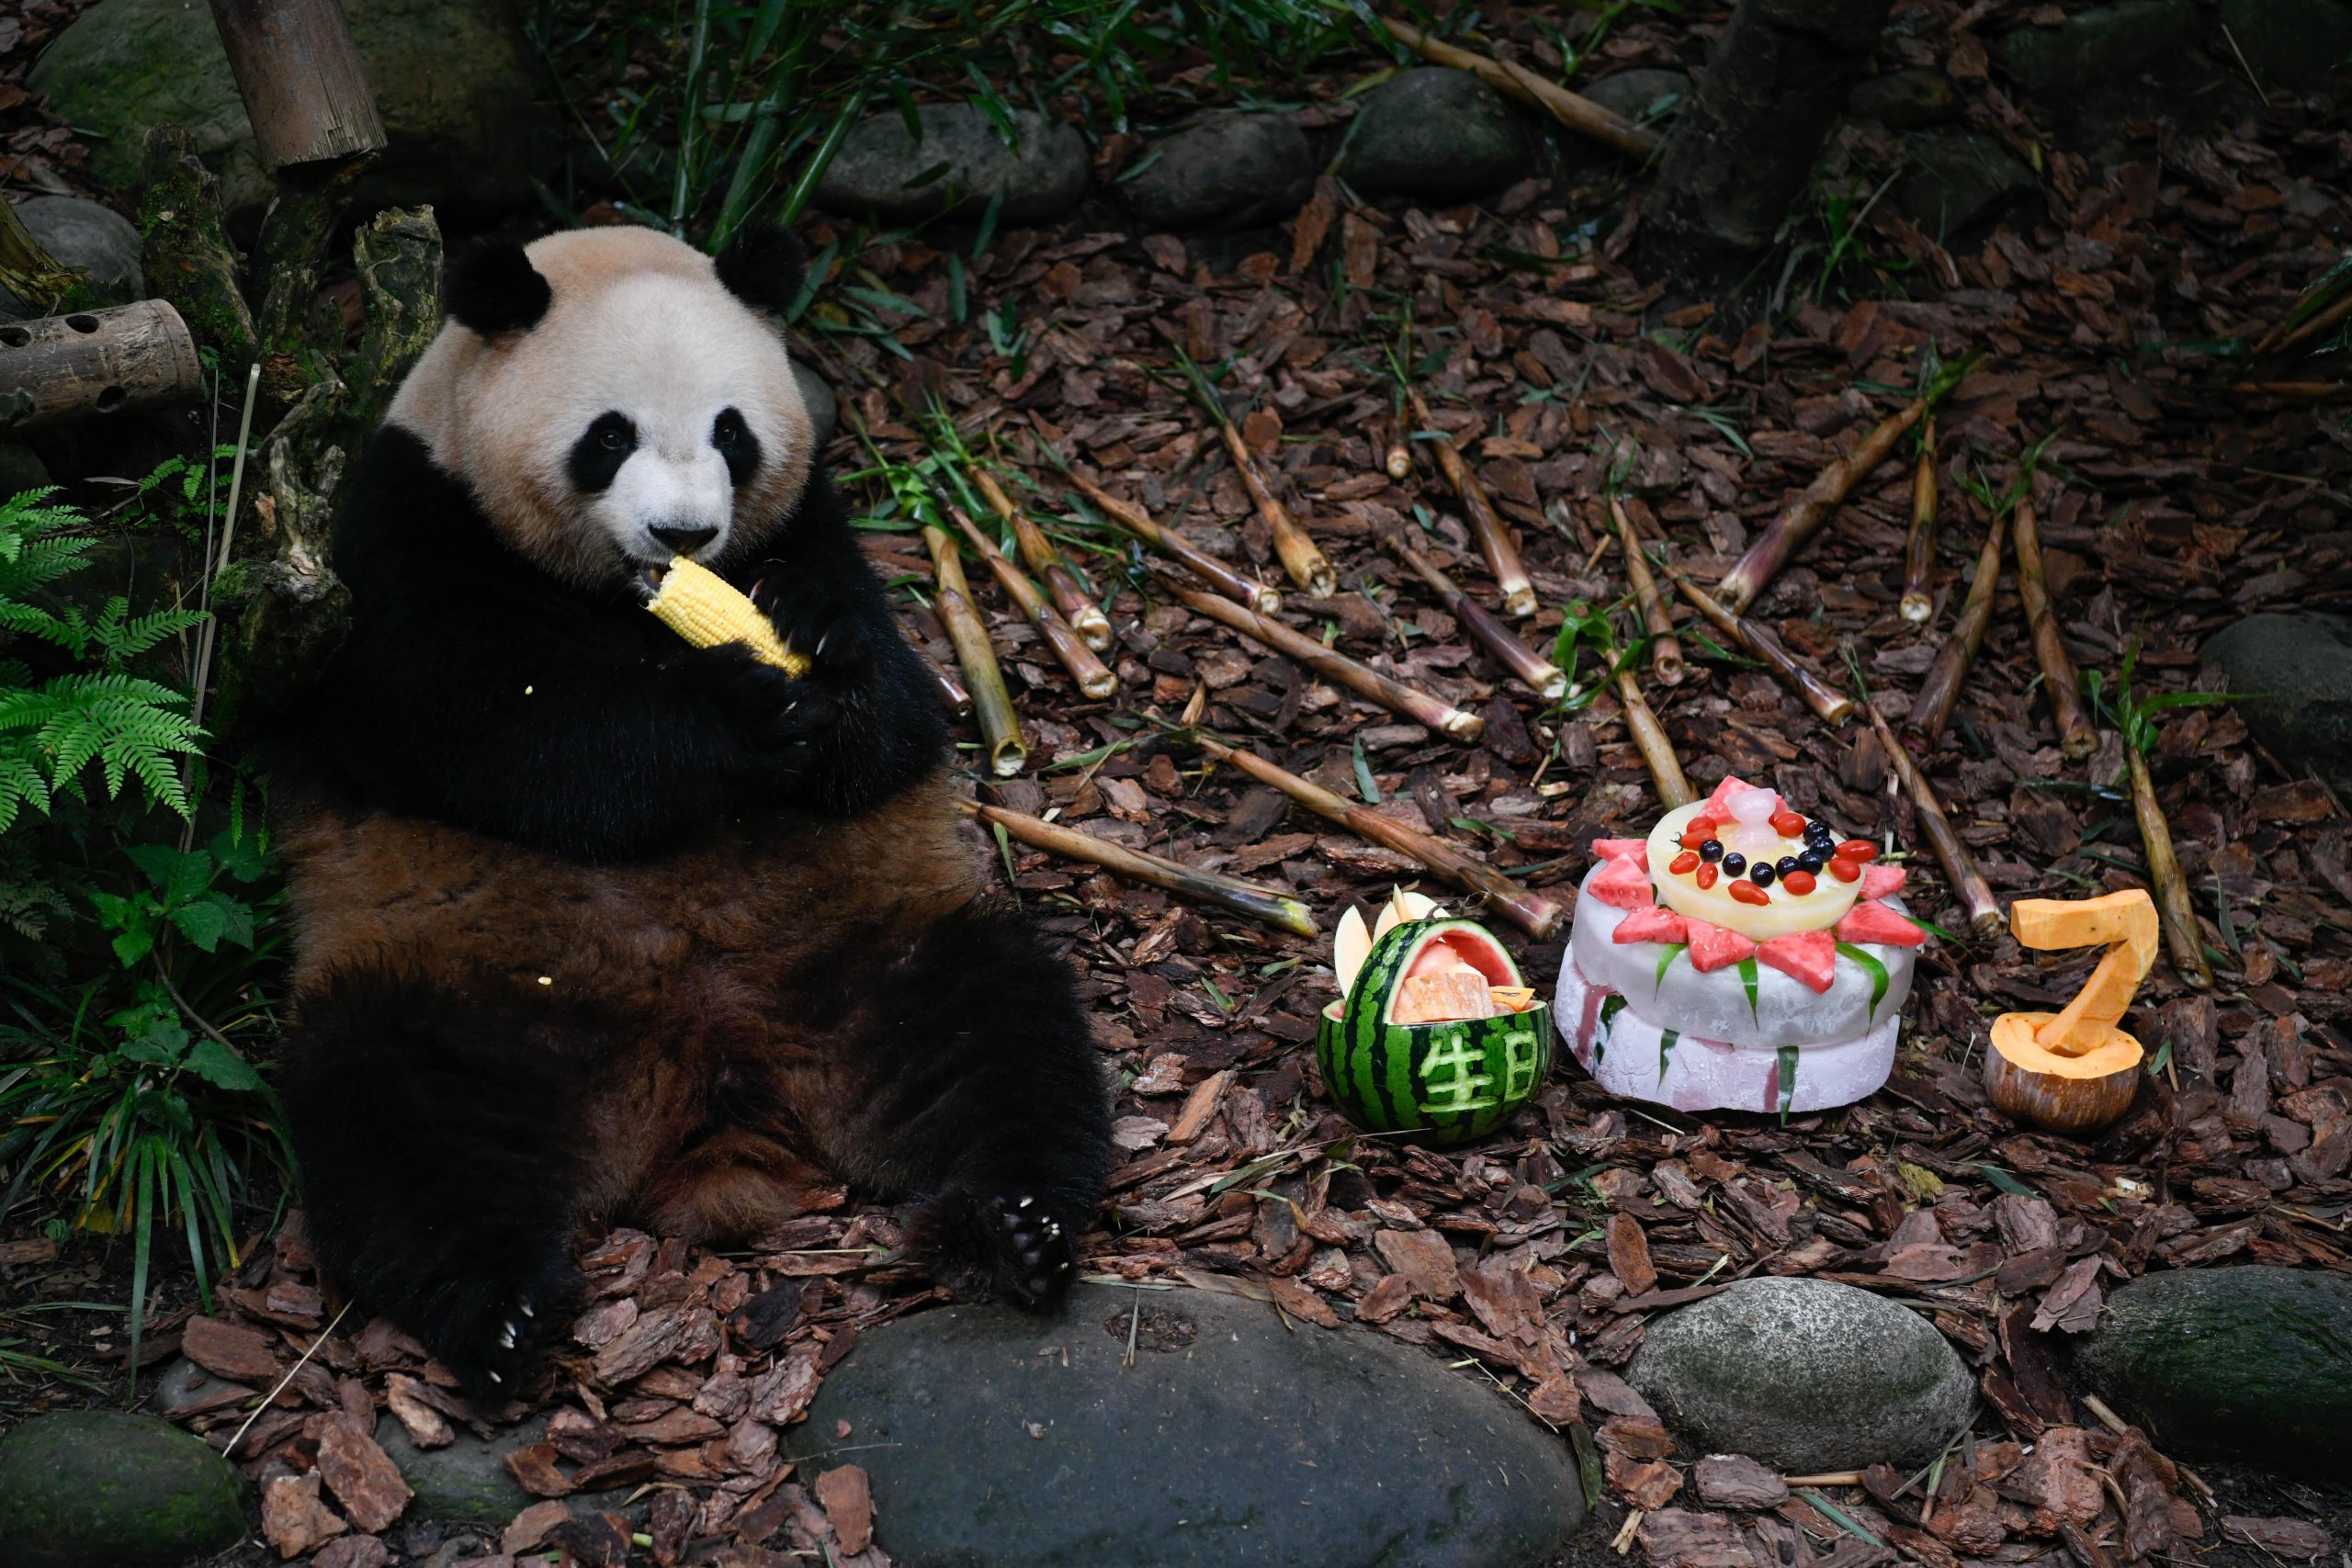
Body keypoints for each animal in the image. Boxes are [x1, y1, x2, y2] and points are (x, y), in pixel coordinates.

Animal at [269, 223, 1112, 1392]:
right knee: (397, 1124)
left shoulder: (816, 523)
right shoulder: (403, 538)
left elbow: (896, 720)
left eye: (731, 430)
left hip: (873, 942)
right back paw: (498, 1310)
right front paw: (738, 716)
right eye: (608, 435)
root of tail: (710, 1077)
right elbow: (488, 726)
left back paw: (1014, 1224)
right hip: (462, 983)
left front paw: (814, 644)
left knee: (998, 1033)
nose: (684, 533)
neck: (630, 603)